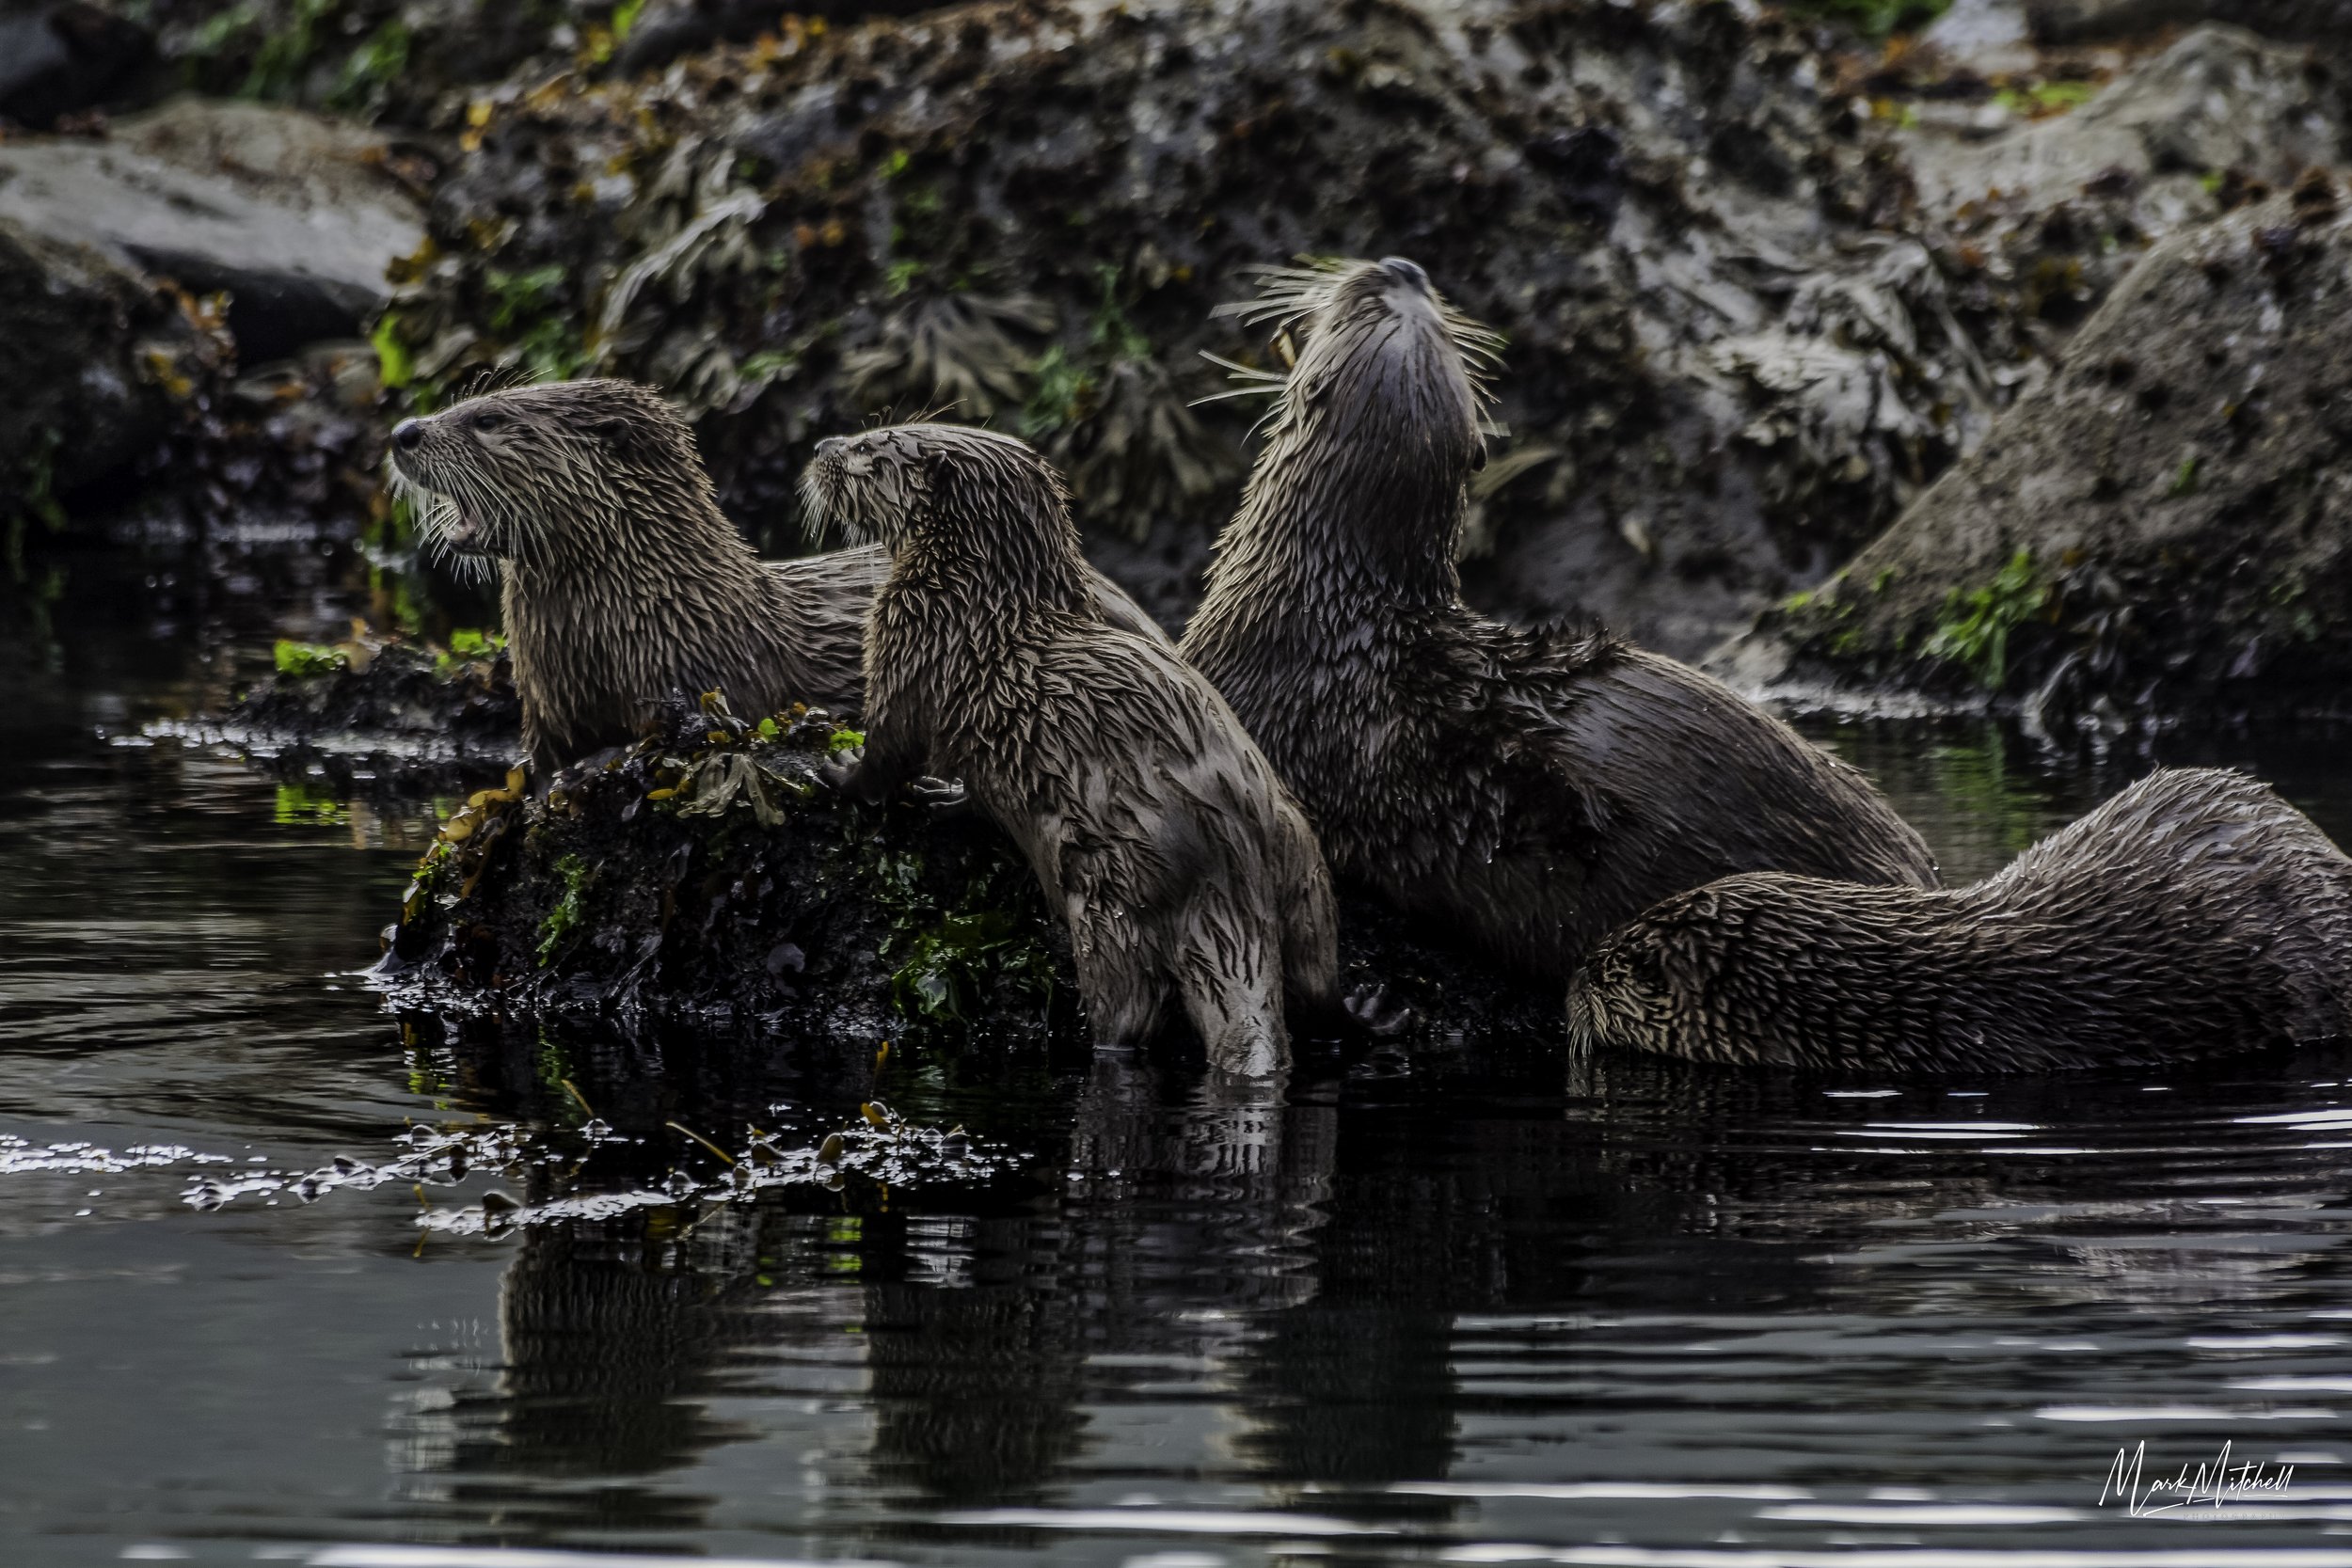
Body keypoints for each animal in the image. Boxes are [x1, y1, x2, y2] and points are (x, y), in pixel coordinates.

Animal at [801, 421, 1338, 1077]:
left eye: (869, 447)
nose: (822, 447)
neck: (974, 598)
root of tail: (1234, 857)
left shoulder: (908, 642)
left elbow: (886, 753)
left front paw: (835, 769)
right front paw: (945, 795)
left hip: (1111, 900)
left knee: (1128, 1012)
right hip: (1304, 869)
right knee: (1317, 983)